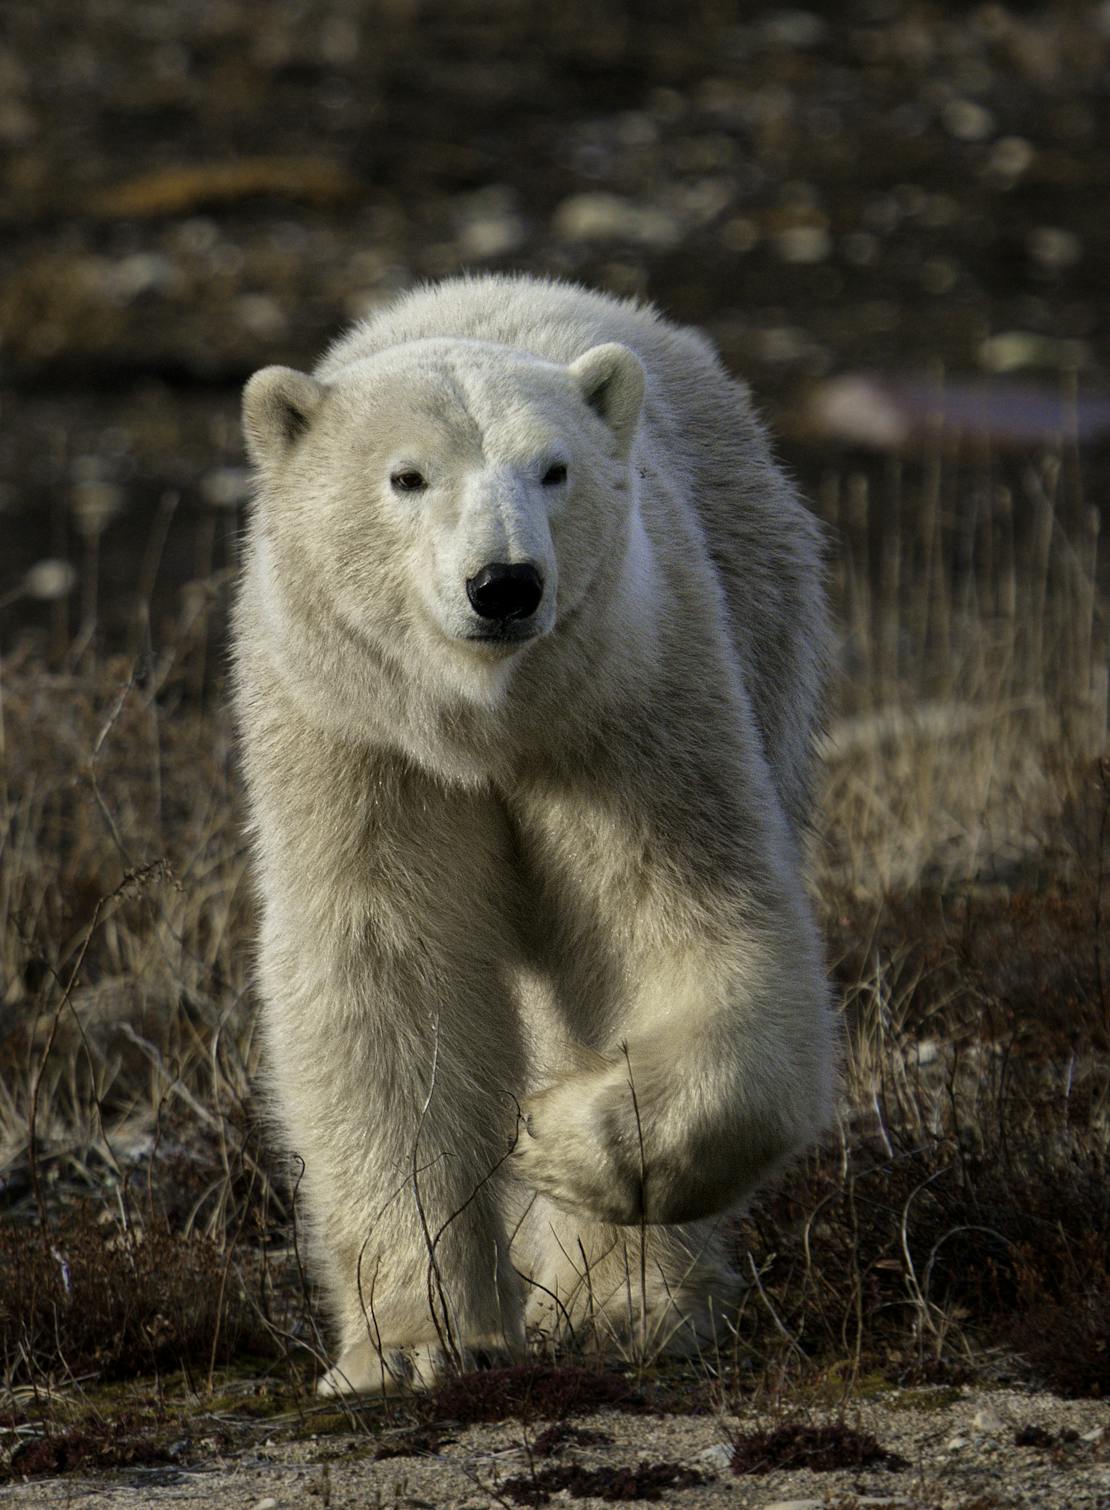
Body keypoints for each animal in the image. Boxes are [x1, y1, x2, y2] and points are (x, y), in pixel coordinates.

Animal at [237, 271, 833, 1389]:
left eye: (553, 469)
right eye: (407, 476)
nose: (505, 583)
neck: (487, 726)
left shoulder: (629, 710)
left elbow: (679, 928)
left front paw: (561, 1141)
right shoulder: (360, 746)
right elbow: (389, 988)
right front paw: (415, 1346)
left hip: (763, 617)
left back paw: (625, 1308)